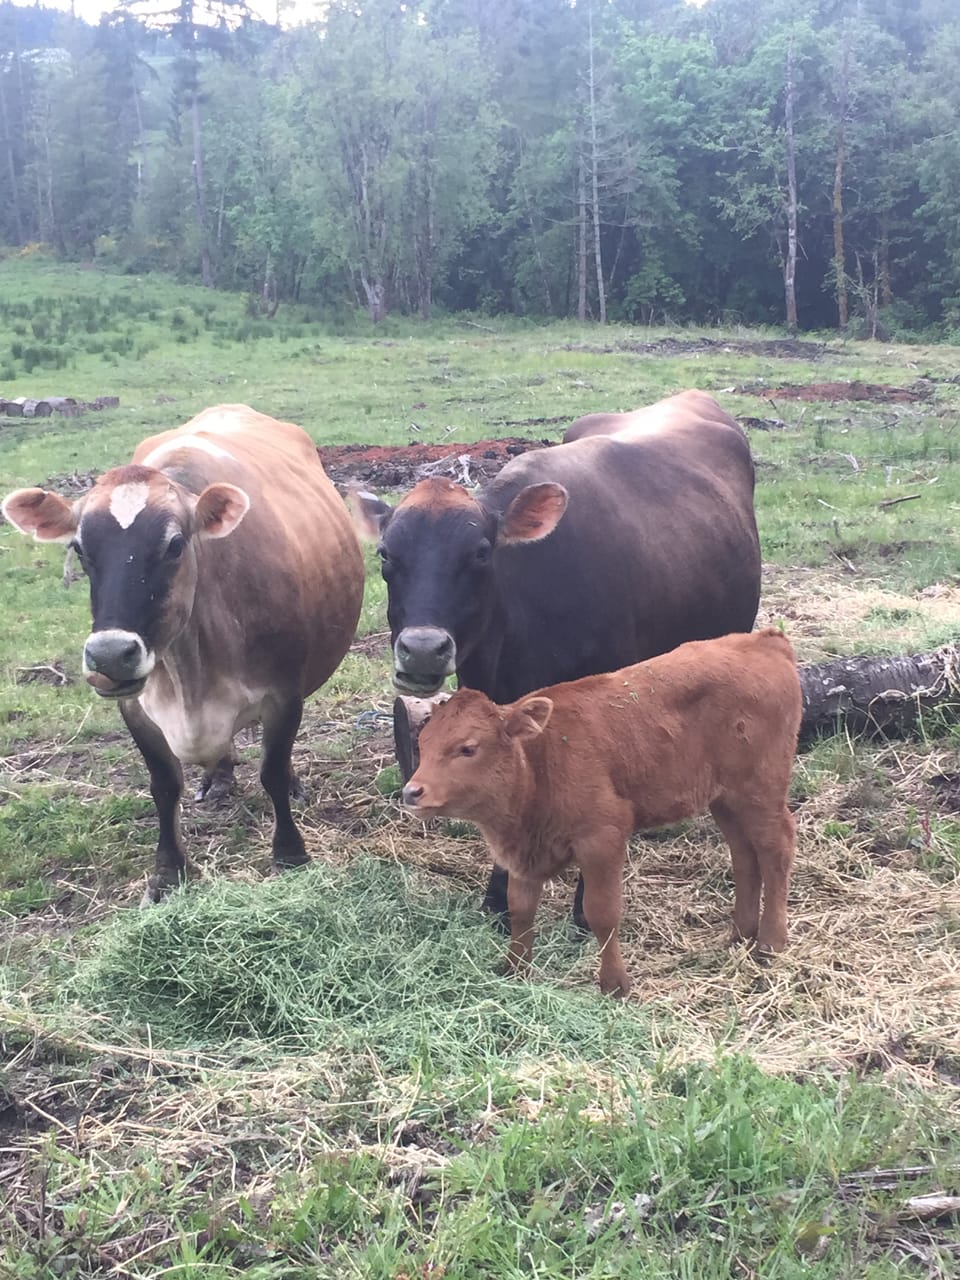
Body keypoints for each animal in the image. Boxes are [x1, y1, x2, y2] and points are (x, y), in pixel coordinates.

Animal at [2, 405, 364, 904]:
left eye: (174, 545)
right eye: (79, 547)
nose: (110, 655)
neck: (190, 674)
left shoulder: (285, 694)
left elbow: (272, 770)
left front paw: (290, 853)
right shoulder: (136, 708)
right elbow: (164, 785)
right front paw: (169, 871)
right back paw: (218, 778)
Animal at [402, 629, 801, 997]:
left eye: (468, 748)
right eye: (423, 743)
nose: (411, 791)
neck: (541, 760)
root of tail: (765, 639)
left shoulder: (603, 837)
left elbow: (601, 912)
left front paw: (614, 984)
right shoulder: (524, 855)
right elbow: (521, 908)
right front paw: (515, 969)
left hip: (761, 789)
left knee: (776, 848)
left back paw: (771, 942)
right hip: (725, 799)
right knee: (744, 854)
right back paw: (740, 934)